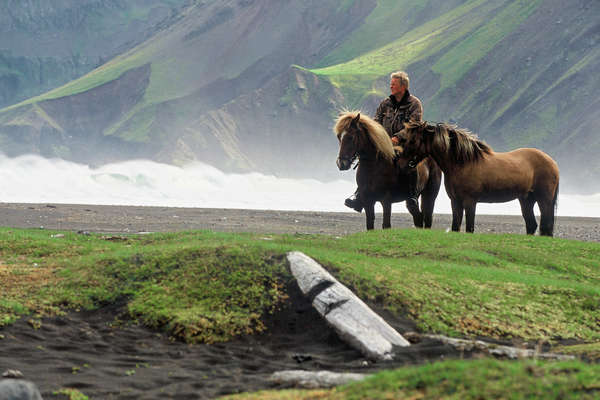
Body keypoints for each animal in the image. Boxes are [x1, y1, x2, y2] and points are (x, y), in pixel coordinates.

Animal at [400, 120, 560, 236]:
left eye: (412, 141)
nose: (402, 163)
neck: (463, 163)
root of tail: (552, 162)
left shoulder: (470, 202)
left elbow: (469, 228)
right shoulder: (455, 202)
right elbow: (456, 226)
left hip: (544, 200)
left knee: (546, 225)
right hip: (526, 200)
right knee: (532, 225)